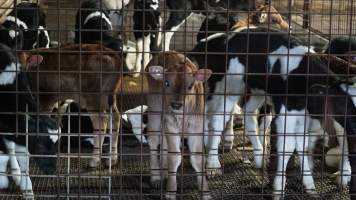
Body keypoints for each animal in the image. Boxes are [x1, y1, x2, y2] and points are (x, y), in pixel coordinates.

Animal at [147, 52, 211, 200]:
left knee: (163, 143)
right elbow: (175, 157)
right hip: (155, 110)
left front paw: (205, 192)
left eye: (191, 85)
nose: (176, 104)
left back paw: (164, 172)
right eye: (166, 83)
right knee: (153, 140)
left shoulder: (197, 127)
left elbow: (198, 159)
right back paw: (156, 177)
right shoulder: (171, 125)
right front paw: (170, 191)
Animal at [191, 27, 356, 198]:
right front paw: (278, 187)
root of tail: (225, 37)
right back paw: (213, 164)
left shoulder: (304, 114)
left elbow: (303, 145)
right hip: (229, 86)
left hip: (256, 90)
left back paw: (259, 156)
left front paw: (309, 184)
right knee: (217, 119)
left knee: (248, 114)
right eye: (343, 107)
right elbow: (288, 146)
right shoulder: (286, 112)